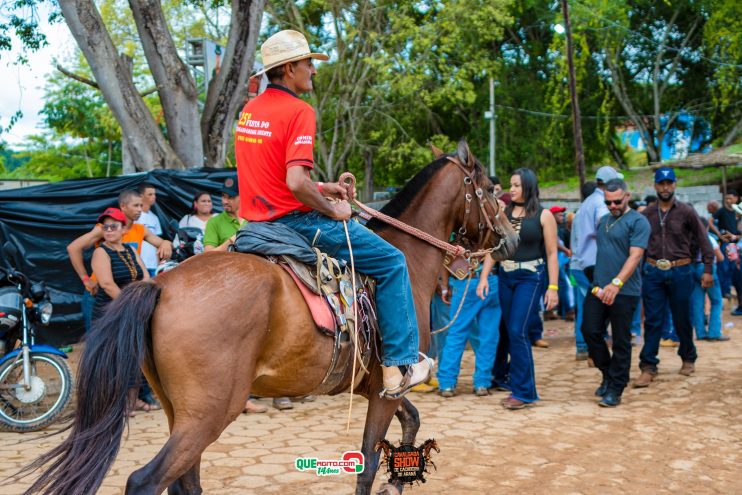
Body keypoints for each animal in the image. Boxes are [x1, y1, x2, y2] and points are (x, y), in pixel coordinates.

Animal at [24, 140, 524, 495]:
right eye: (491, 191)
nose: (513, 236)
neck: (408, 259)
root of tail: (161, 285)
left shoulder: (379, 385)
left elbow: (412, 422)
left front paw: (397, 483)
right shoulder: (386, 388)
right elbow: (366, 462)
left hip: (179, 413)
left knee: (185, 483)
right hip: (208, 414)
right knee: (146, 481)